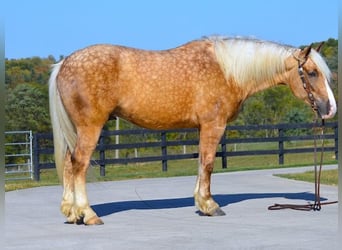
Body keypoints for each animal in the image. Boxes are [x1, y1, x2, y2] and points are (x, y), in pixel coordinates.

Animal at [49, 36, 336, 225]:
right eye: (311, 72)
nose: (331, 109)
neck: (227, 71)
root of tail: (63, 63)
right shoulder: (213, 124)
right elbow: (208, 164)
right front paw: (210, 206)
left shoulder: (203, 128)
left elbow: (201, 164)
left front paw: (201, 202)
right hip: (90, 127)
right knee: (79, 164)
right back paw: (88, 214)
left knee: (68, 163)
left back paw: (72, 213)